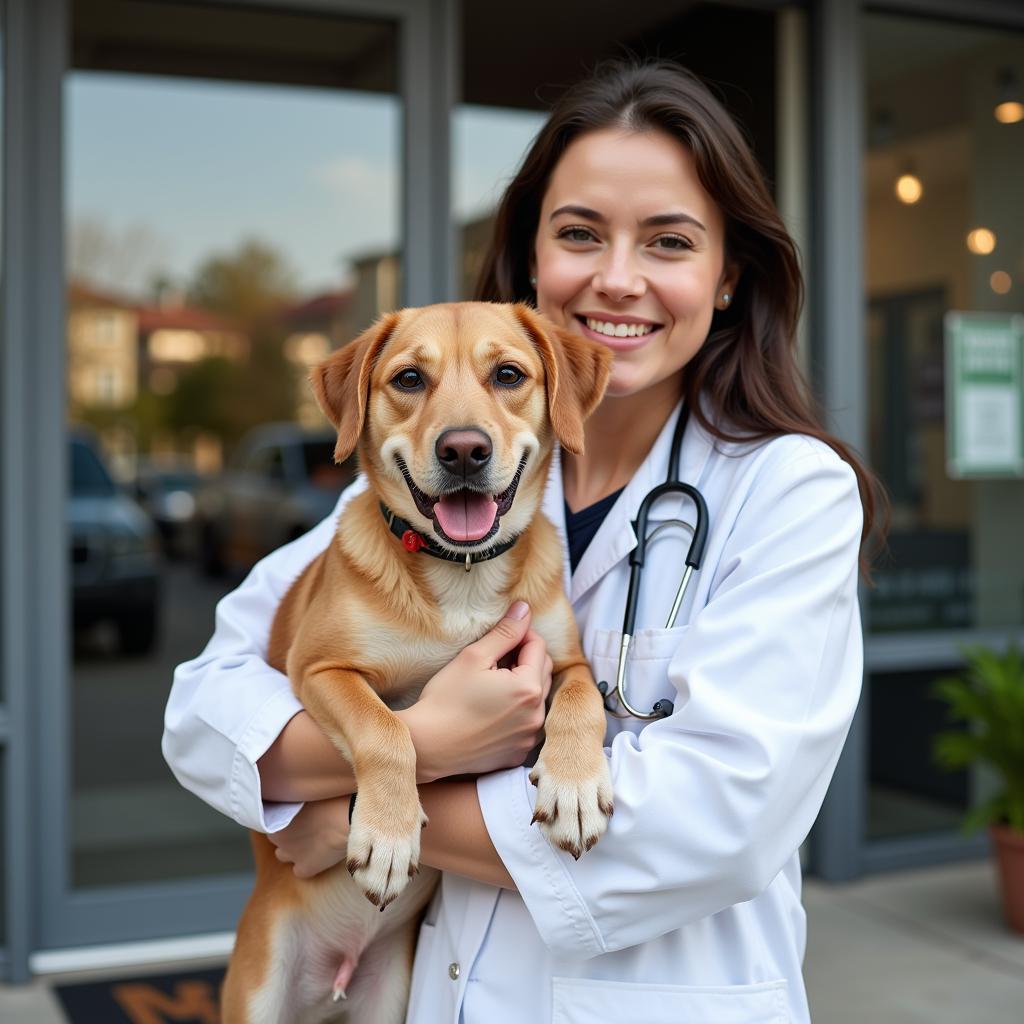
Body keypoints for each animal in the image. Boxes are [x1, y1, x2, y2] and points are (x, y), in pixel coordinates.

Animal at [220, 301, 610, 1024]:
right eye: (408, 379)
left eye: (508, 374)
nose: (464, 450)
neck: (460, 576)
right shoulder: (320, 669)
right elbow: (386, 730)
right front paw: (388, 835)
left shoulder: (564, 659)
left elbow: (582, 699)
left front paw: (572, 787)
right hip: (259, 989)